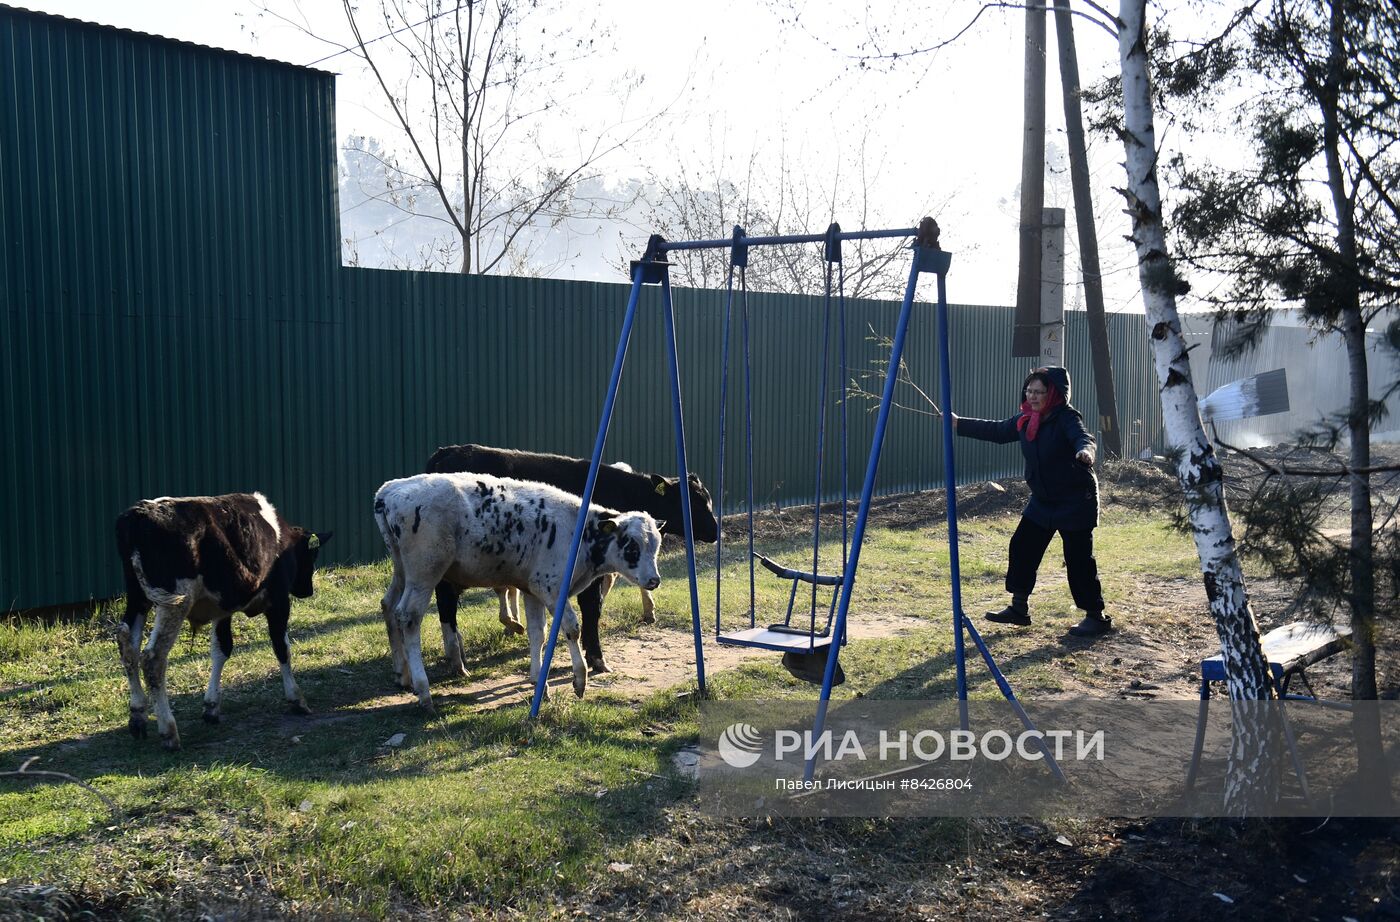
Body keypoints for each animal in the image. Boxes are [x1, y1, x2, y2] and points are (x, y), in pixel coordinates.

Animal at [115, 489, 330, 749]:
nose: (308, 591)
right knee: (153, 658)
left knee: (128, 647)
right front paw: (296, 698)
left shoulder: (222, 609)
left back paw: (138, 715)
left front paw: (211, 707)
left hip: (137, 599)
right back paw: (168, 731)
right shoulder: (279, 601)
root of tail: (139, 513)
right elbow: (281, 647)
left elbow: (222, 649)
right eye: (311, 554)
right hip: (174, 602)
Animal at [375, 472, 663, 710]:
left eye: (656, 546)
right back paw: (424, 692)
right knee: (408, 617)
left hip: (402, 570)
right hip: (424, 573)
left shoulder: (532, 590)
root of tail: (390, 490)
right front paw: (579, 680)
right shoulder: (551, 588)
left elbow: (538, 635)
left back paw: (403, 675)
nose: (654, 580)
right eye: (632, 546)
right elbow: (572, 628)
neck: (577, 531)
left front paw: (540, 683)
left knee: (388, 605)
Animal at [420, 444, 716, 674]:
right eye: (693, 502)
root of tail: (445, 453)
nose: (715, 530)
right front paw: (596, 657)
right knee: (446, 604)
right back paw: (457, 661)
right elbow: (592, 607)